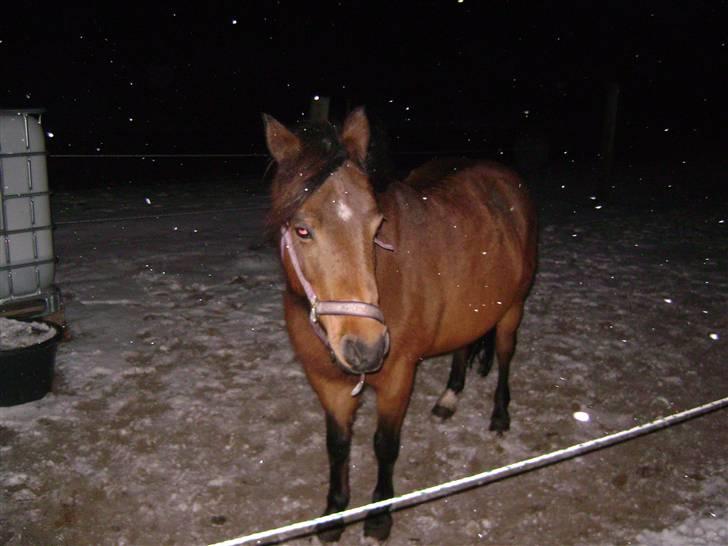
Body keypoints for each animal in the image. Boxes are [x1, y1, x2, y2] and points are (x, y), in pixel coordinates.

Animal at [264, 107, 536, 540]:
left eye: (376, 225)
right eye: (302, 229)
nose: (367, 348)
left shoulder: (396, 378)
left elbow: (384, 445)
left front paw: (378, 517)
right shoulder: (327, 383)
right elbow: (337, 445)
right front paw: (333, 515)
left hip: (512, 308)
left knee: (507, 354)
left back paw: (500, 415)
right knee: (463, 346)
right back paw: (449, 398)